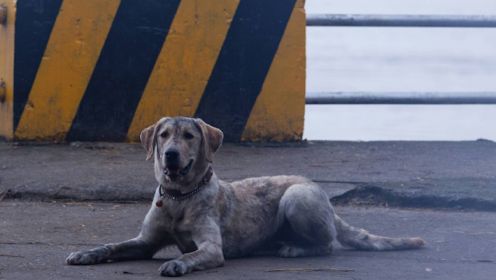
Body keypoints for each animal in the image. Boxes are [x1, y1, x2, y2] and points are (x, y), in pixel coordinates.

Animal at [64, 116, 424, 276]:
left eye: (189, 136)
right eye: (164, 134)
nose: (170, 155)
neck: (180, 197)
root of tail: (314, 186)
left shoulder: (211, 247)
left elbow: (194, 254)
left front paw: (178, 263)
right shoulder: (145, 241)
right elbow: (113, 246)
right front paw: (86, 253)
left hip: (296, 197)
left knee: (328, 243)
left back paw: (294, 248)